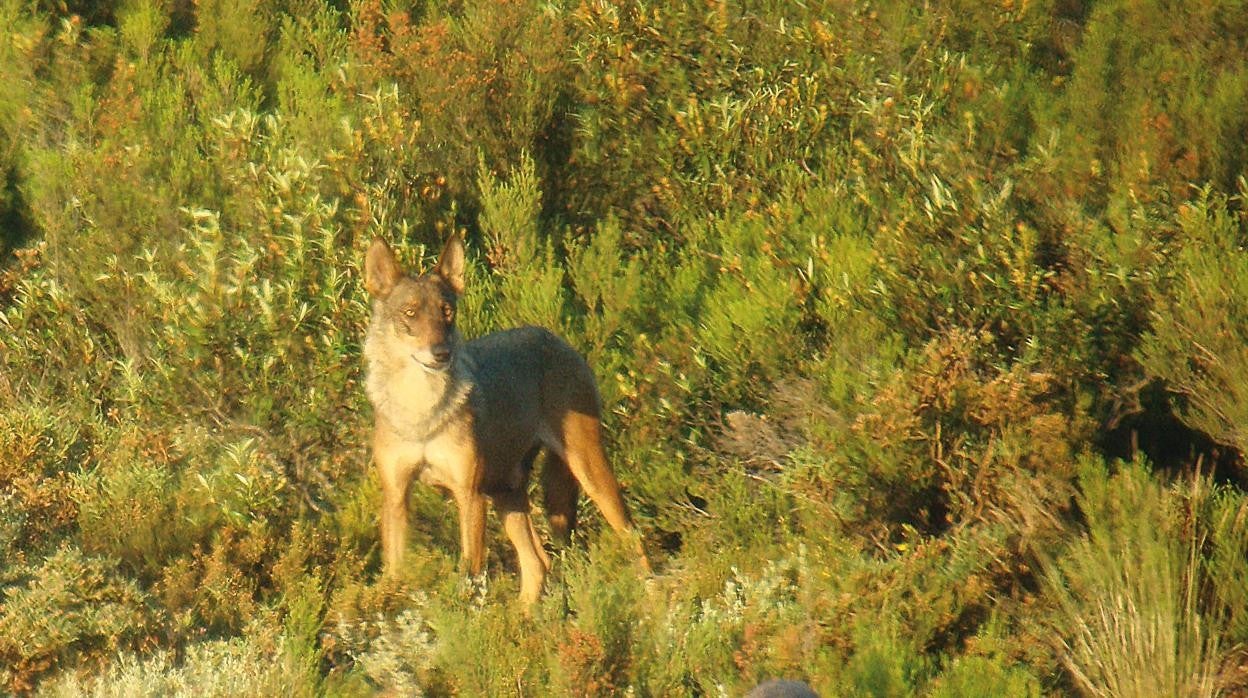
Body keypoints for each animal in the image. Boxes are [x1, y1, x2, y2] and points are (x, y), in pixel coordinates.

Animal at [364, 235, 648, 606]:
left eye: (447, 313)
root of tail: (555, 338)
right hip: (506, 494)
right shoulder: (396, 495)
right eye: (410, 313)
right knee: (539, 563)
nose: (442, 353)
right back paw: (523, 617)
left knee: (633, 538)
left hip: (588, 473)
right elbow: (395, 573)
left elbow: (470, 575)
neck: (422, 413)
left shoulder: (469, 494)